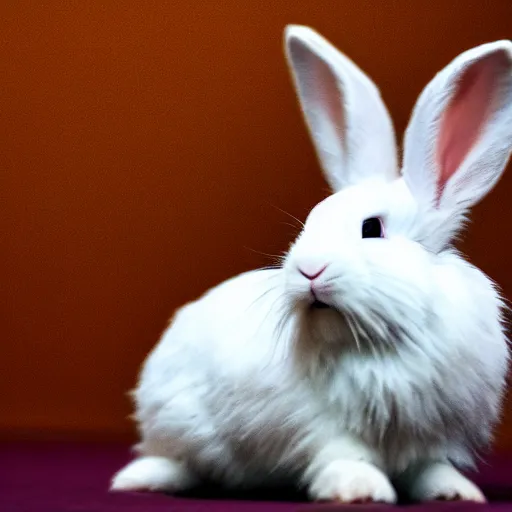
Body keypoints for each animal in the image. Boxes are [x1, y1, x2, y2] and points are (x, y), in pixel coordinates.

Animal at [110, 26, 510, 502]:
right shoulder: (323, 426)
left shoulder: (430, 435)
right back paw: (139, 479)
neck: (377, 341)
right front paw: (360, 491)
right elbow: (345, 454)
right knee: (175, 458)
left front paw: (454, 492)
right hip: (177, 418)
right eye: (312, 220)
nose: (308, 270)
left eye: (372, 228)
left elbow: (429, 467)